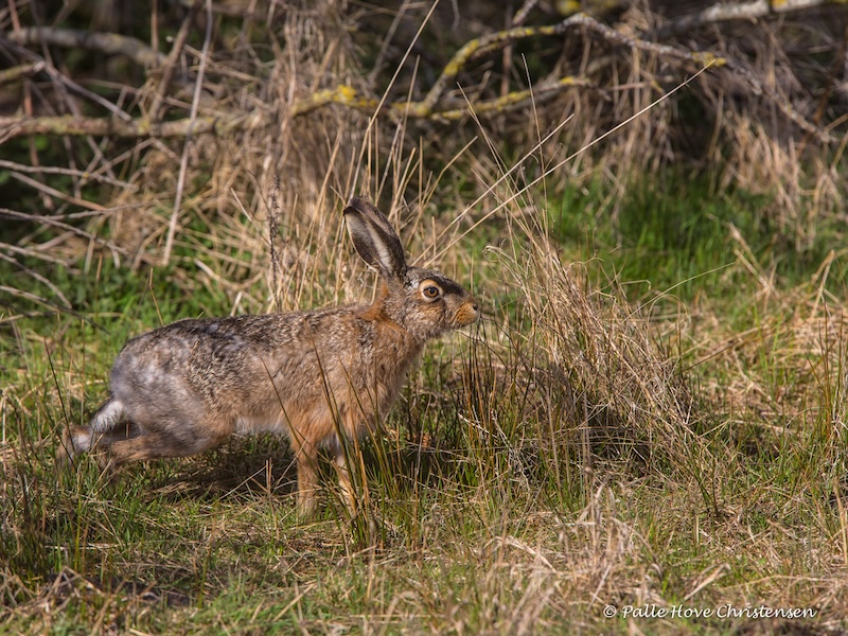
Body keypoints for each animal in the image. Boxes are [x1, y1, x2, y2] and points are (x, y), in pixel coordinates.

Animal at [61, 195, 479, 516]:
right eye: (432, 292)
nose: (475, 308)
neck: (387, 325)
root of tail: (121, 372)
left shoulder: (343, 431)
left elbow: (345, 472)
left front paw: (354, 508)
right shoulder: (310, 423)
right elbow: (308, 470)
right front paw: (307, 515)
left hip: (152, 419)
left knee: (88, 437)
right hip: (194, 428)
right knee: (113, 452)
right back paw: (112, 497)